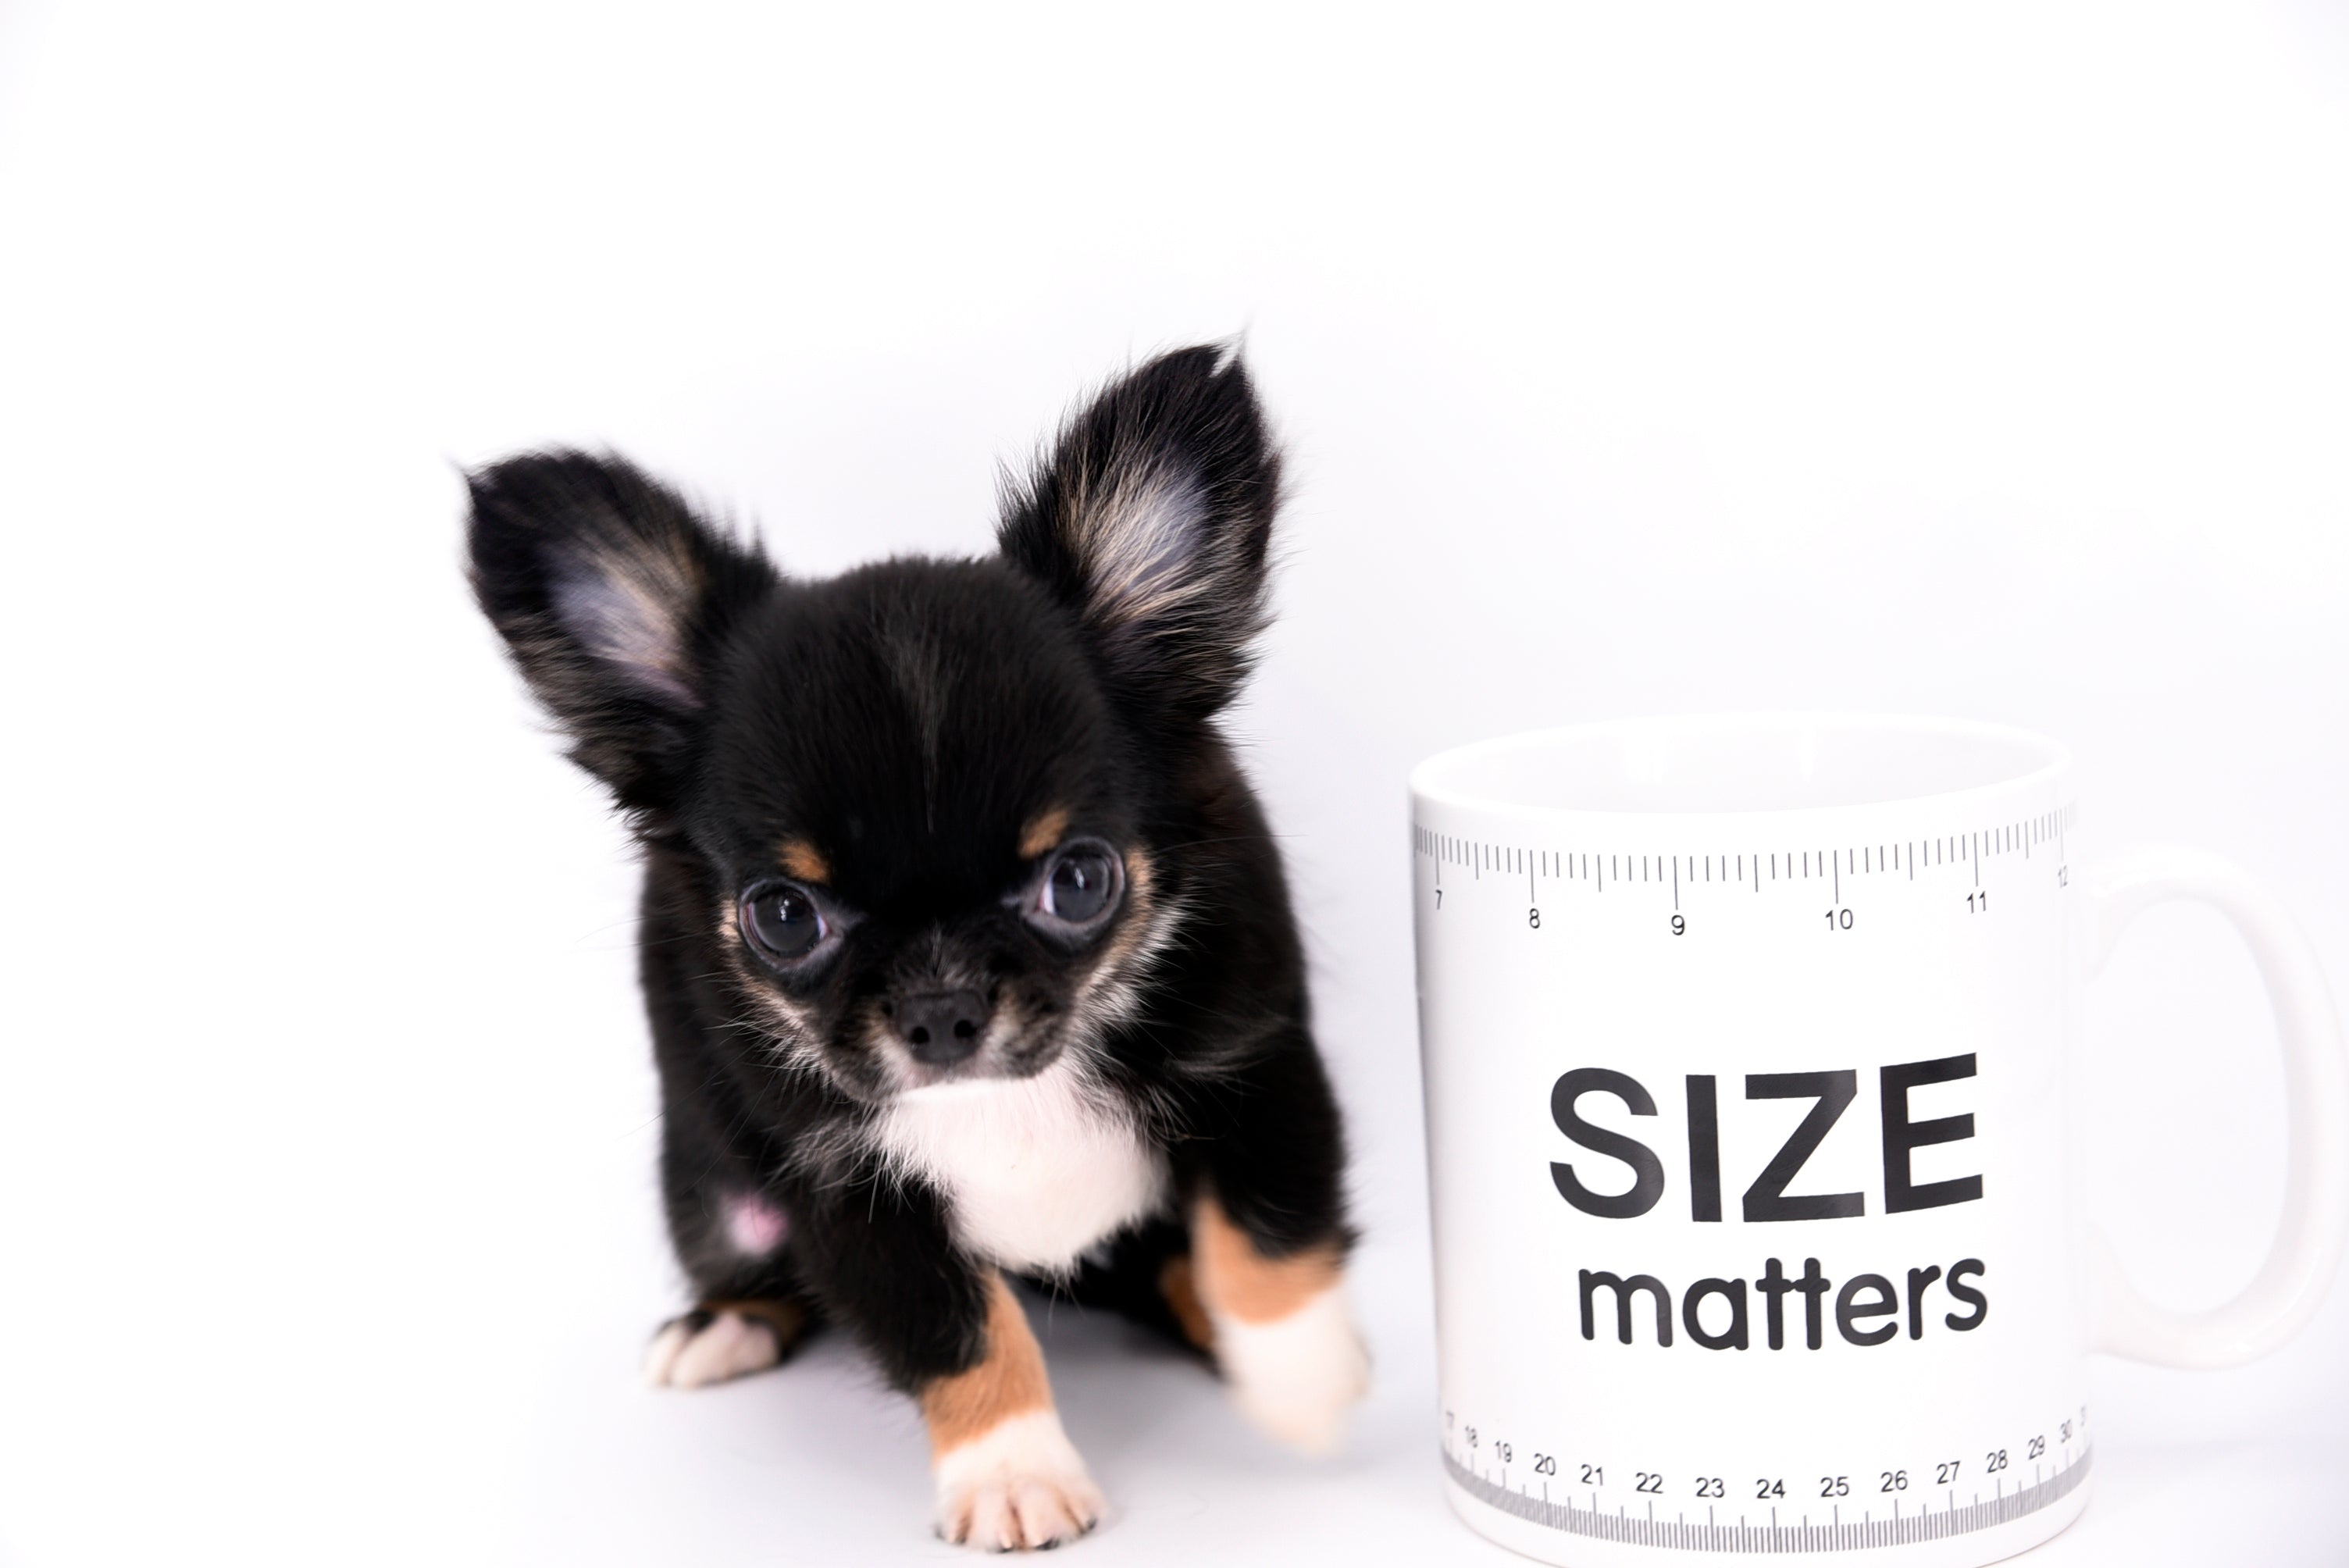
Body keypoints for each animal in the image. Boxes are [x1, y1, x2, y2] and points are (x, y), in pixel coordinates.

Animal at [466, 345, 1367, 1550]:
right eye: (783, 916)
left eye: (1079, 880)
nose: (941, 1012)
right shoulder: (839, 1184)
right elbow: (958, 1326)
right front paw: (1012, 1469)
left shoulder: (1257, 1067)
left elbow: (1268, 1234)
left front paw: (1303, 1382)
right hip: (710, 1197)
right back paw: (719, 1328)